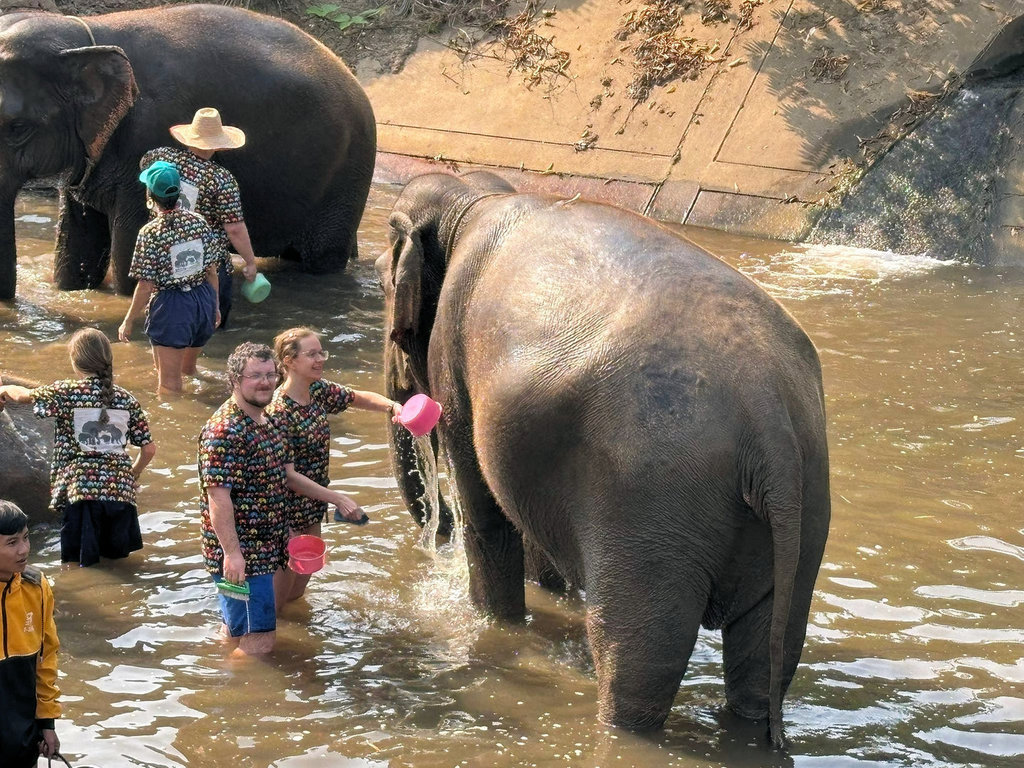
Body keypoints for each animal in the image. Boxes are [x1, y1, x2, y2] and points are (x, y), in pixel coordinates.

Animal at [0, 3, 376, 299]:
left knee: (322, 258)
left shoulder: (149, 139)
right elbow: (74, 257)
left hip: (347, 179)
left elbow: (130, 269)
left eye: (17, 128)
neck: (84, 33)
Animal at [376, 173, 831, 747]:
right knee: (767, 649)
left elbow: (487, 515)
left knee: (638, 659)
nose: (433, 540)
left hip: (651, 509)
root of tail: (768, 421)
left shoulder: (452, 363)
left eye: (381, 287)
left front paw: (495, 624)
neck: (473, 197)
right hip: (803, 509)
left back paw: (621, 726)